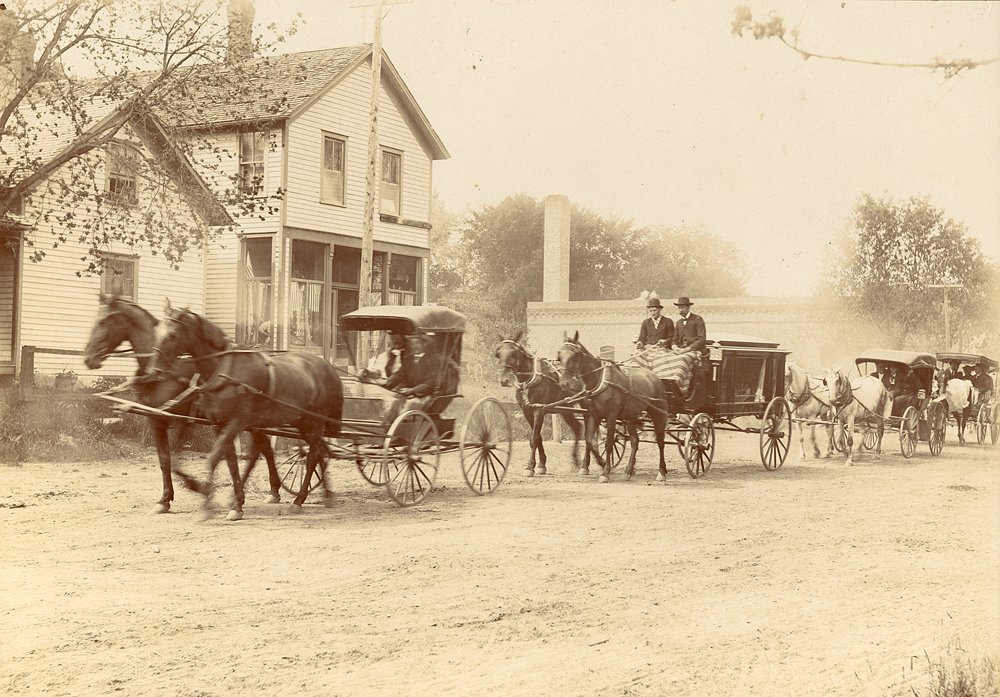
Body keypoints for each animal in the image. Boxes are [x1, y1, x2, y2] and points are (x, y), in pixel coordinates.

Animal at [81, 294, 278, 512]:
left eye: (103, 321)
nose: (88, 359)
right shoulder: (155, 420)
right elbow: (164, 460)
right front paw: (164, 499)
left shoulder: (181, 420)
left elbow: (174, 460)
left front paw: (194, 486)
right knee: (263, 448)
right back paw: (265, 491)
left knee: (261, 450)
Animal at [151, 304, 344, 516]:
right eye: (156, 331)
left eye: (173, 335)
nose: (155, 371)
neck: (225, 370)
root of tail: (328, 367)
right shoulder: (220, 424)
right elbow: (230, 462)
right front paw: (236, 503)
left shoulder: (236, 422)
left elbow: (213, 458)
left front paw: (208, 502)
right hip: (301, 423)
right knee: (316, 453)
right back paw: (326, 495)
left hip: (313, 424)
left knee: (311, 457)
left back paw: (299, 499)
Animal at [494, 330, 584, 474]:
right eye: (498, 352)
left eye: (514, 353)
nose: (504, 380)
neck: (529, 380)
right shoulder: (527, 411)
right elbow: (538, 438)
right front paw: (541, 464)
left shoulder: (539, 410)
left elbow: (534, 438)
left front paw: (530, 467)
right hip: (565, 409)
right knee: (577, 428)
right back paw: (576, 461)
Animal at [556, 330, 664, 482]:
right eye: (559, 355)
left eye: (575, 355)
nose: (565, 383)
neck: (599, 380)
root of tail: (655, 378)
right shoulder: (593, 415)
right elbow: (589, 440)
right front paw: (596, 464)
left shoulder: (611, 416)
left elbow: (608, 443)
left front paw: (605, 472)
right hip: (630, 417)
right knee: (635, 441)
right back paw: (628, 470)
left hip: (658, 413)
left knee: (660, 442)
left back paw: (662, 472)